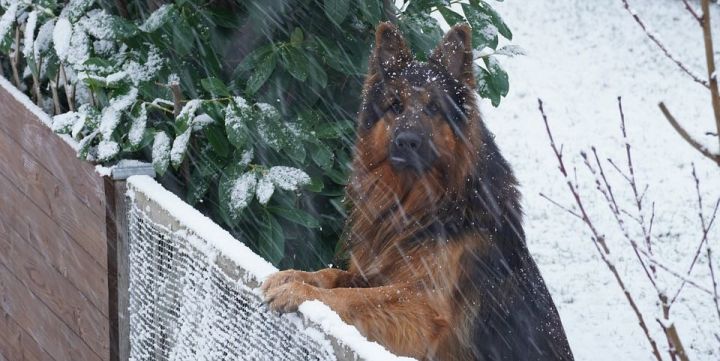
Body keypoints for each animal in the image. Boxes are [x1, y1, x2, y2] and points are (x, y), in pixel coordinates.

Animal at [262, 22, 572, 360]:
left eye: (434, 108)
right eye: (395, 106)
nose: (406, 141)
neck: (420, 204)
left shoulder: (426, 310)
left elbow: (352, 297)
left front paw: (299, 291)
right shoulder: (372, 273)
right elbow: (333, 276)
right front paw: (295, 277)